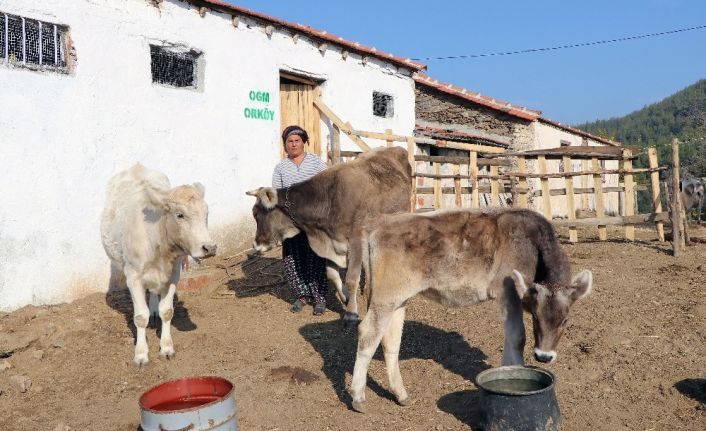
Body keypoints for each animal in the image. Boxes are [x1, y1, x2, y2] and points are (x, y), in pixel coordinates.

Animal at [248, 147, 412, 326]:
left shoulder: (356, 241)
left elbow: (351, 279)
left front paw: (351, 313)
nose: (256, 244)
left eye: (256, 214)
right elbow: (332, 274)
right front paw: (345, 297)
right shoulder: (331, 244)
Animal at [350, 209, 592, 416]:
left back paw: (401, 394)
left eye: (566, 320)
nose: (544, 356)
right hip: (385, 296)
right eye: (535, 315)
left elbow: (510, 338)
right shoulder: (507, 292)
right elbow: (517, 338)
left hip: (398, 299)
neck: (532, 245)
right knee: (368, 333)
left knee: (390, 339)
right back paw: (358, 396)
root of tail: (381, 222)